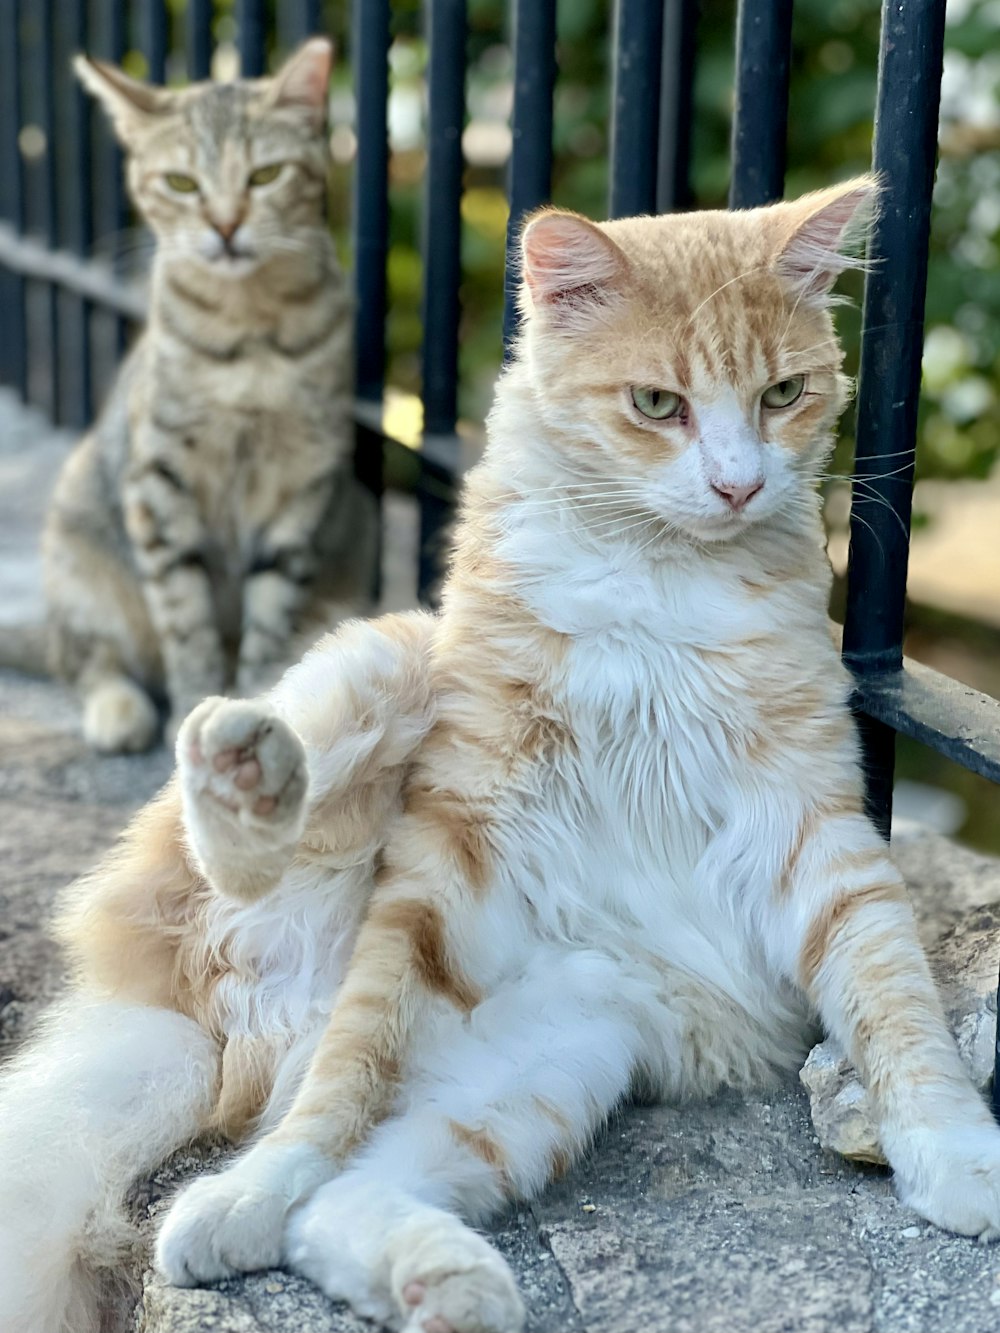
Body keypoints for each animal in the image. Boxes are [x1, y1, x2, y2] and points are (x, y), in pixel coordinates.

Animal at [1, 182, 1000, 1333]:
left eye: (783, 393)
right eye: (658, 404)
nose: (738, 486)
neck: (658, 580)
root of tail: (194, 1024)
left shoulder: (813, 825)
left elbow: (897, 1002)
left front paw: (956, 1157)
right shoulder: (452, 835)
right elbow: (343, 1078)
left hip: (555, 1053)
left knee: (340, 1203)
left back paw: (447, 1285)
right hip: (391, 662)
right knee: (297, 1054)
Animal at [40, 38, 376, 751]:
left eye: (265, 176)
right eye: (181, 184)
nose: (224, 226)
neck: (250, 330)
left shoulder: (300, 486)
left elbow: (269, 620)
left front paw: (258, 706)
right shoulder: (160, 484)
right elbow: (185, 619)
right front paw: (197, 705)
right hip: (77, 546)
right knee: (82, 656)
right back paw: (118, 709)